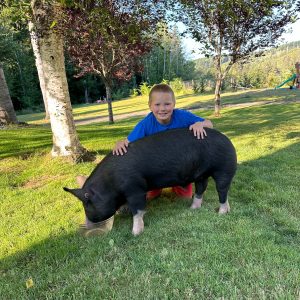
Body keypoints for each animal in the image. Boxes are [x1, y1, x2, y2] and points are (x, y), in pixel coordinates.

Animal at [63, 127, 237, 236]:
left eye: (87, 203)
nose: (89, 225)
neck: (110, 183)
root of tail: (228, 139)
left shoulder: (136, 189)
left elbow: (138, 210)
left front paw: (135, 233)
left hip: (224, 169)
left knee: (222, 190)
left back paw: (222, 212)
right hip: (201, 174)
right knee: (201, 188)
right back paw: (193, 208)